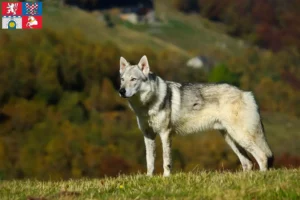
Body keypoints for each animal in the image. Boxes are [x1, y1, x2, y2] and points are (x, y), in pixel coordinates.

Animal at [118, 55, 274, 176]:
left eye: (133, 79)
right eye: (122, 79)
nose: (121, 91)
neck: (147, 105)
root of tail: (247, 93)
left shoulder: (165, 134)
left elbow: (166, 161)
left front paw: (166, 178)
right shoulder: (148, 135)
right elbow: (149, 161)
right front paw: (149, 178)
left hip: (241, 136)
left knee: (262, 157)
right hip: (231, 138)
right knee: (248, 162)